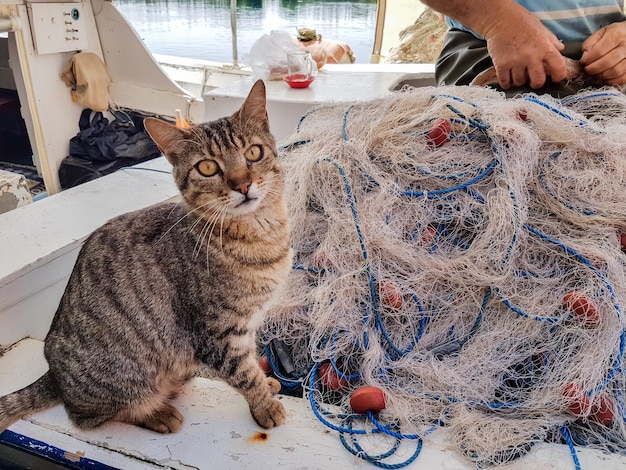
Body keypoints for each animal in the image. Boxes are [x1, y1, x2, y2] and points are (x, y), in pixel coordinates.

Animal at [0, 80, 292, 434]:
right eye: (207, 167)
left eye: (253, 152)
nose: (243, 184)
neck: (260, 234)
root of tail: (54, 375)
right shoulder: (217, 332)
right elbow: (244, 373)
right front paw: (264, 404)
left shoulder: (246, 325)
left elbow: (251, 358)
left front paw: (267, 383)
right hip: (124, 377)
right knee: (91, 416)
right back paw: (157, 413)